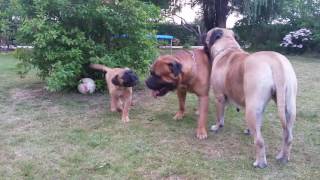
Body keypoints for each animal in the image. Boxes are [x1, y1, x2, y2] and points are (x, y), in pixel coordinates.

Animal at [204, 27, 298, 168]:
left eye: (206, 35)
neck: (228, 48)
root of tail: (275, 61)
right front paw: (248, 130)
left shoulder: (219, 97)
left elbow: (219, 116)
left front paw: (217, 127)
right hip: (288, 109)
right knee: (288, 136)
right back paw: (283, 157)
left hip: (251, 110)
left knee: (259, 141)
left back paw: (260, 162)